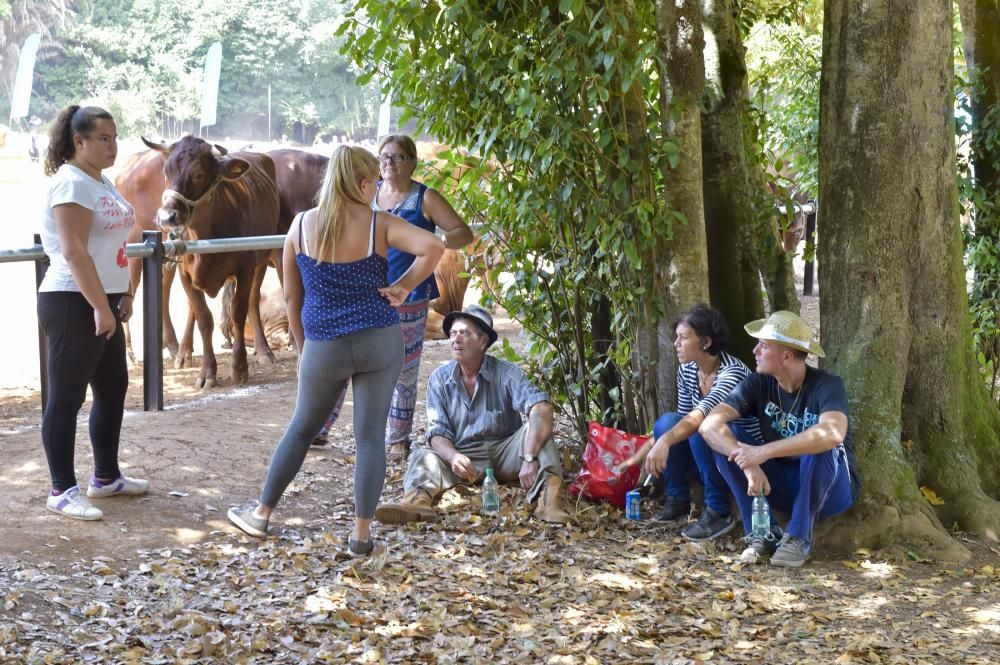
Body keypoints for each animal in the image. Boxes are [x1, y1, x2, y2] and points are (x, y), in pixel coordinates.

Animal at [143, 136, 280, 384]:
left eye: (198, 174)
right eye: (166, 171)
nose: (167, 216)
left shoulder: (245, 269)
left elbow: (238, 312)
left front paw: (239, 367)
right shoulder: (185, 274)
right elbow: (203, 318)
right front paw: (207, 371)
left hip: (262, 259)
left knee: (253, 300)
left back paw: (263, 351)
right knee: (193, 310)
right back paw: (183, 353)